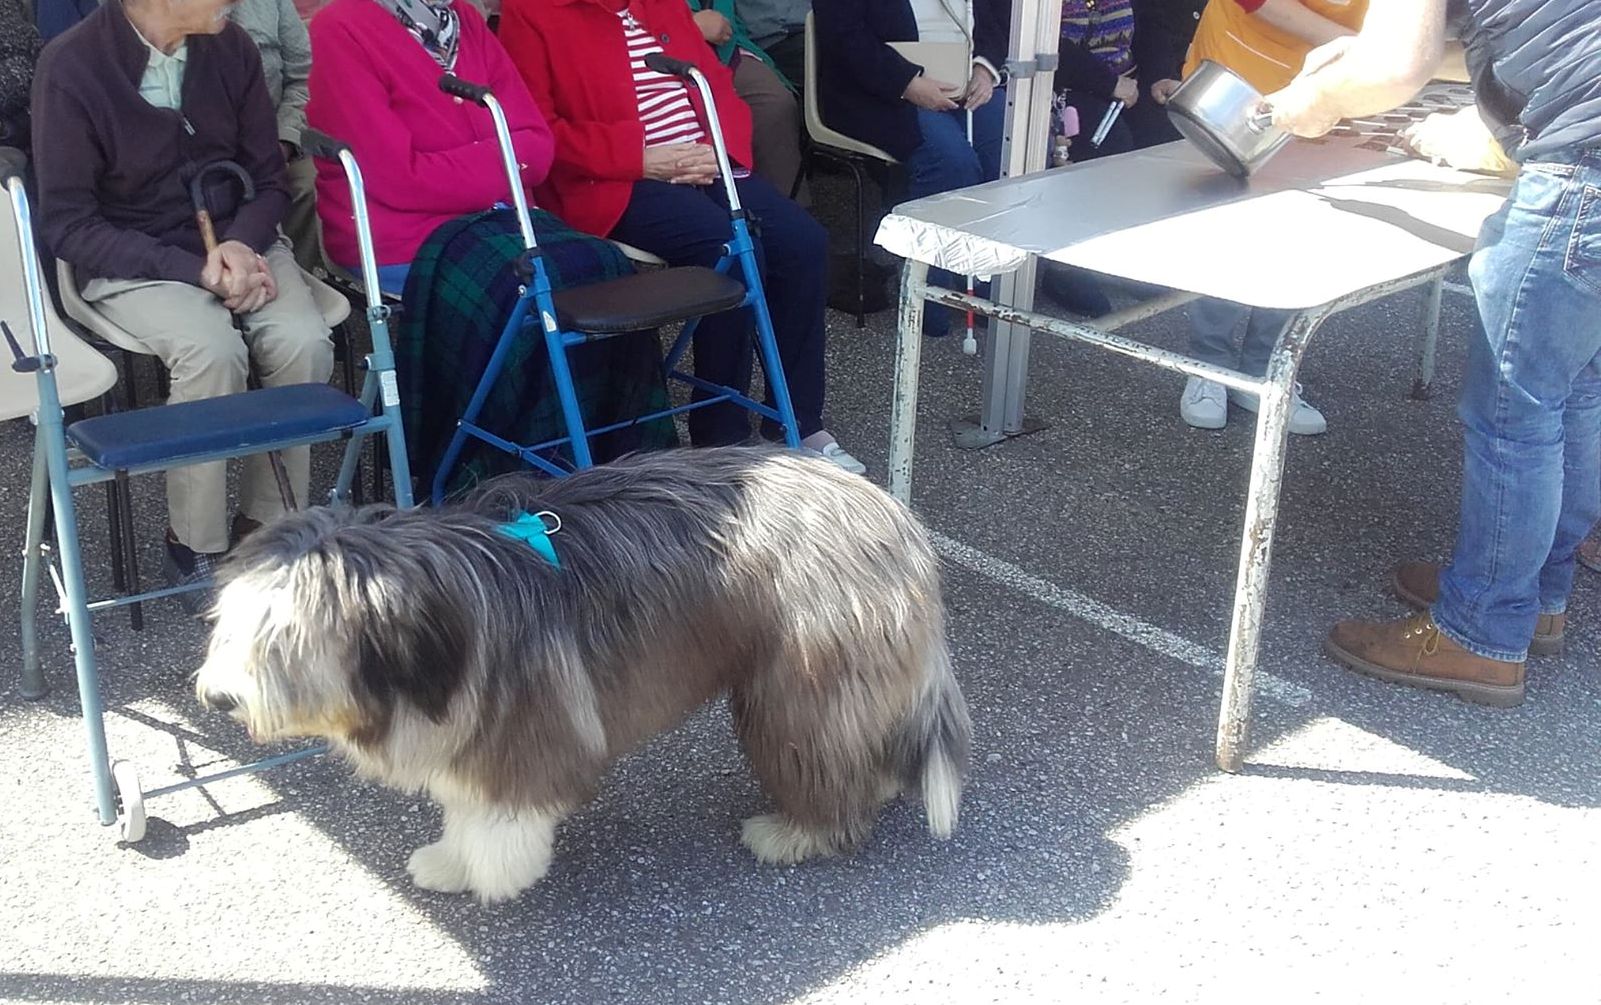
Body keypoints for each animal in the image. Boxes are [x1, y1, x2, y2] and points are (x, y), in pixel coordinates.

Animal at [200, 448, 973, 902]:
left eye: (280, 638)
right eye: (226, 623)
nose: (215, 697)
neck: (445, 613)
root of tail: (894, 517)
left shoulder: (520, 726)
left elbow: (499, 818)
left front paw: (489, 871)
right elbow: (462, 808)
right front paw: (449, 863)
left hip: (800, 680)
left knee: (817, 752)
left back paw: (797, 832)